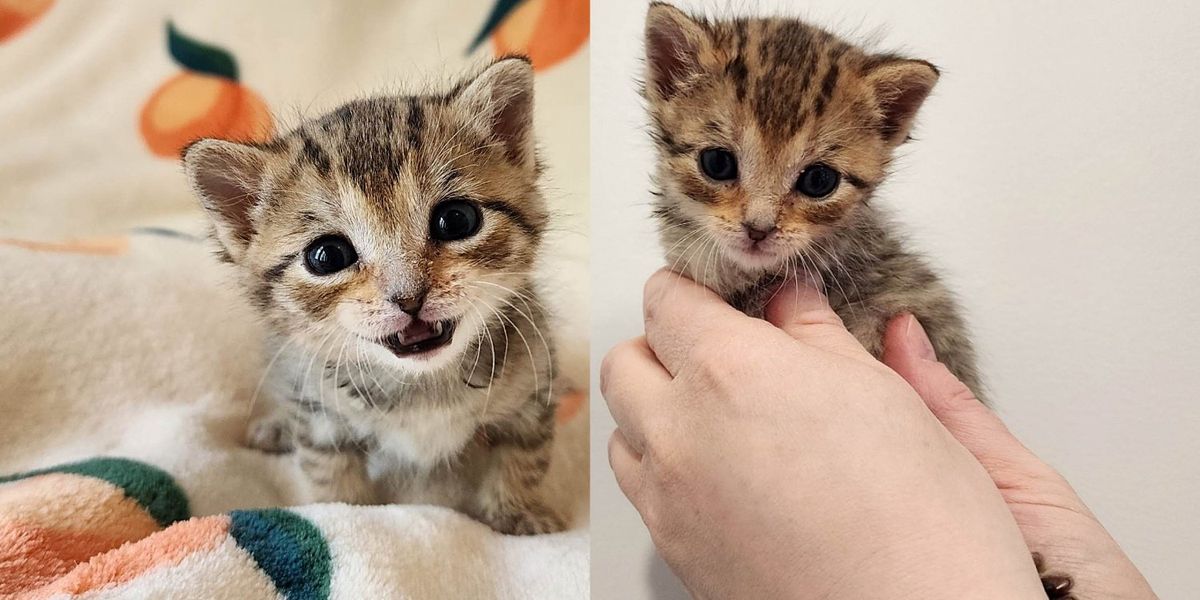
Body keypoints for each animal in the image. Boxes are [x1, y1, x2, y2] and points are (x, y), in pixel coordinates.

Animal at [183, 56, 566, 535]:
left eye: (458, 219)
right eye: (327, 256)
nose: (409, 297)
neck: (422, 386)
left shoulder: (534, 383)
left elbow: (525, 453)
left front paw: (515, 512)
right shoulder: (318, 411)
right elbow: (328, 468)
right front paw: (351, 516)